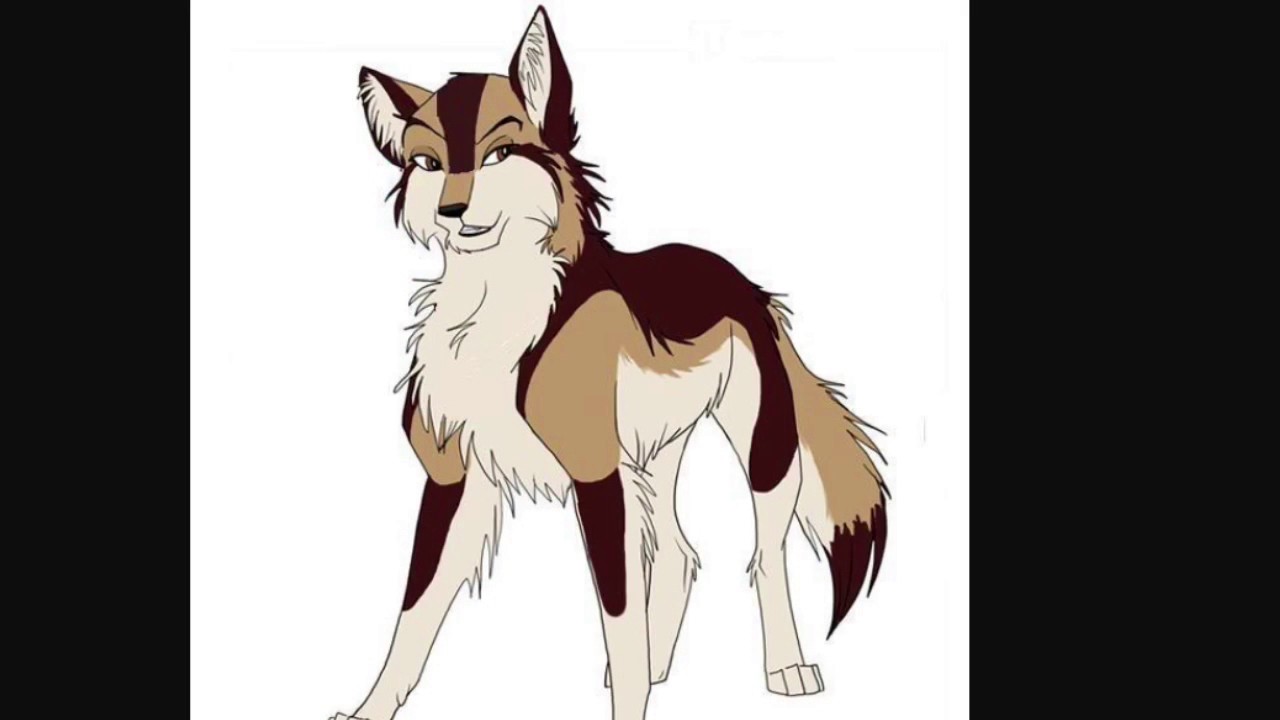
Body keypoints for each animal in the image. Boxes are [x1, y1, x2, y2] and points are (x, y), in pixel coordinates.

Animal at [333, 7, 888, 720]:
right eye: (428, 163)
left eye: (498, 153)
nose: (451, 210)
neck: (496, 314)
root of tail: (738, 276)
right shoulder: (456, 474)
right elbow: (414, 612)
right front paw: (369, 711)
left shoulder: (597, 476)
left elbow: (618, 618)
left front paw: (632, 694)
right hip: (653, 464)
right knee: (683, 556)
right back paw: (663, 666)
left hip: (763, 456)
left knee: (764, 558)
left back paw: (787, 667)